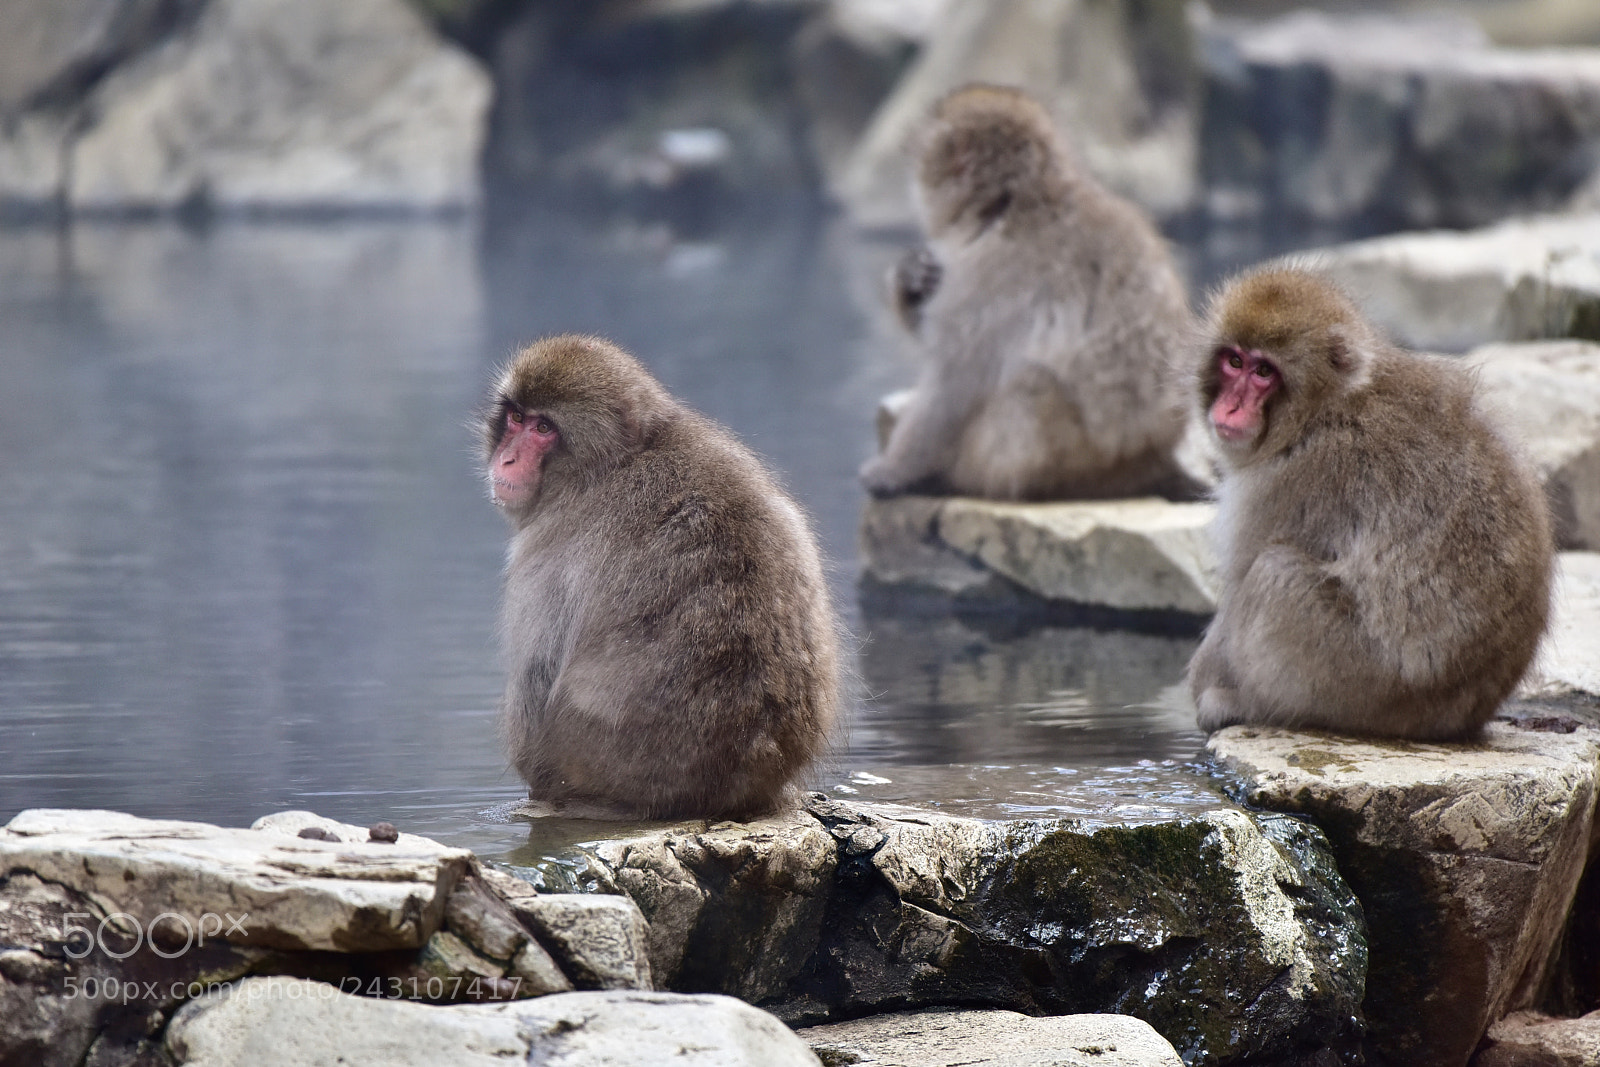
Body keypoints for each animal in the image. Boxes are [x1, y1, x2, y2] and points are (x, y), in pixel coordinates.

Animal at [482, 335, 842, 820]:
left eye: (543, 428)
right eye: (517, 417)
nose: (507, 458)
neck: (621, 460)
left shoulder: (547, 553)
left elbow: (536, 678)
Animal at [859, 83, 1197, 502]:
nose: (910, 155)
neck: (1014, 203)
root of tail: (1150, 460)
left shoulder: (985, 276)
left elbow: (955, 381)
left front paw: (892, 470)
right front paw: (910, 280)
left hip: (1073, 459)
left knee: (1031, 382)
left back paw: (960, 478)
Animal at [1187, 267, 1553, 741]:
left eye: (1264, 371)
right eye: (1234, 362)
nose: (1230, 407)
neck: (1325, 408)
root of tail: (1459, 718)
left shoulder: (1290, 480)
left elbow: (1237, 584)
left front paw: (1206, 688)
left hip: (1359, 687)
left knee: (1274, 573)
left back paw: (1247, 705)